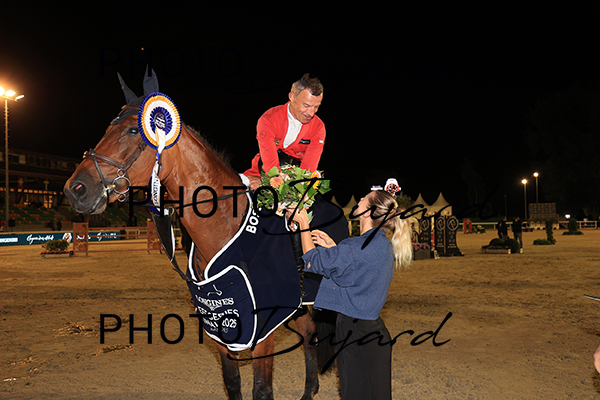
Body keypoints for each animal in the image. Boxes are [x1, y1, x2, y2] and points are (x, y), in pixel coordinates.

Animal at [63, 70, 337, 400]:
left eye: (131, 130)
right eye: (108, 128)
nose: (76, 189)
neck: (224, 228)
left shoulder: (264, 329)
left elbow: (261, 389)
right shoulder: (220, 327)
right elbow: (232, 382)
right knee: (309, 332)